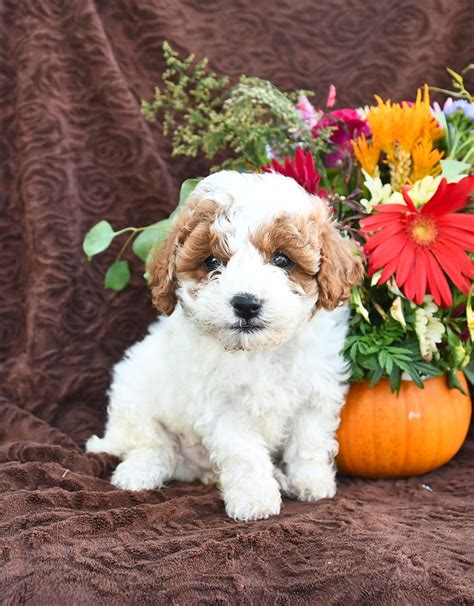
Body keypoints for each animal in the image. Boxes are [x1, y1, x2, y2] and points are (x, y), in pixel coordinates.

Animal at [87, 172, 362, 524]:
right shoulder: (223, 408)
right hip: (133, 395)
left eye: (282, 260)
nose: (246, 303)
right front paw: (254, 499)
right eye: (212, 262)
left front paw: (312, 482)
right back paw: (137, 473)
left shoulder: (315, 392)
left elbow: (308, 441)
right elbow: (244, 454)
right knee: (152, 445)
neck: (259, 351)